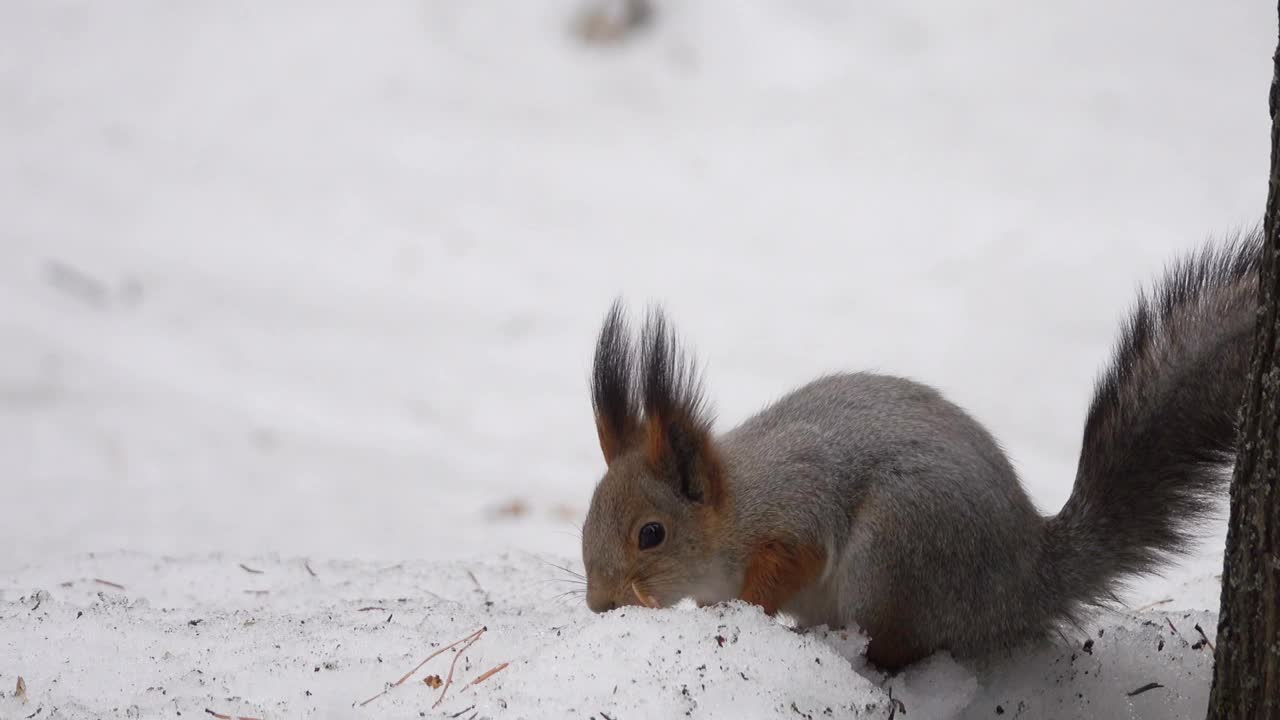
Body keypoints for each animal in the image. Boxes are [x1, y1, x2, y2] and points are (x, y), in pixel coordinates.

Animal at [586, 230, 1264, 666]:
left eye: (651, 534)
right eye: (586, 524)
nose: (599, 606)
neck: (732, 508)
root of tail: (1027, 582)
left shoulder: (794, 511)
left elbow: (792, 559)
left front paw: (744, 612)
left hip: (896, 555)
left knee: (903, 648)